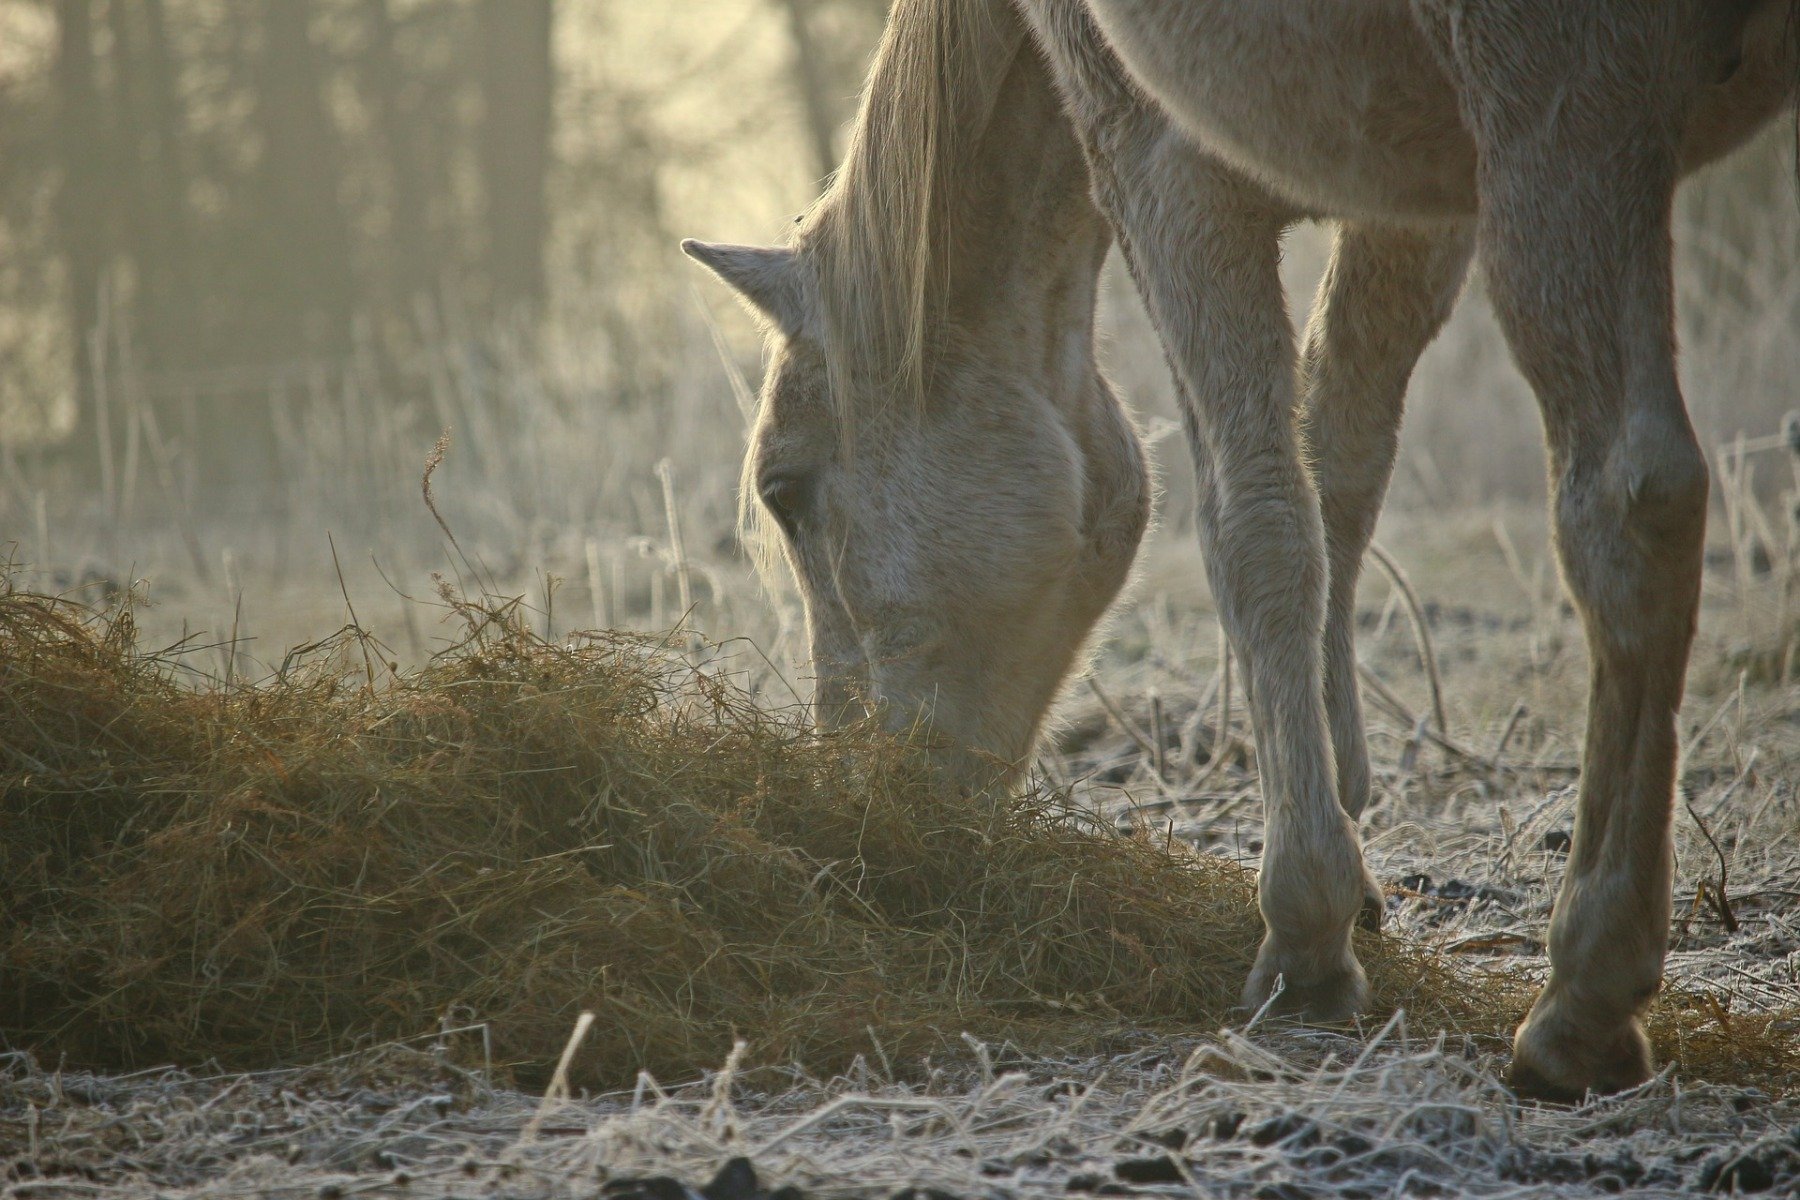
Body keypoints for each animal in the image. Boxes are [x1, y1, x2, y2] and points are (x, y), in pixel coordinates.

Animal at [680, 0, 1792, 1101]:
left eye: (783, 491)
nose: (856, 796)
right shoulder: (1411, 198)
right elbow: (1337, 464)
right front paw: (1348, 831)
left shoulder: (1163, 163)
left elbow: (1254, 517)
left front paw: (1306, 930)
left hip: (1566, 115)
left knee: (1627, 499)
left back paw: (1581, 1001)